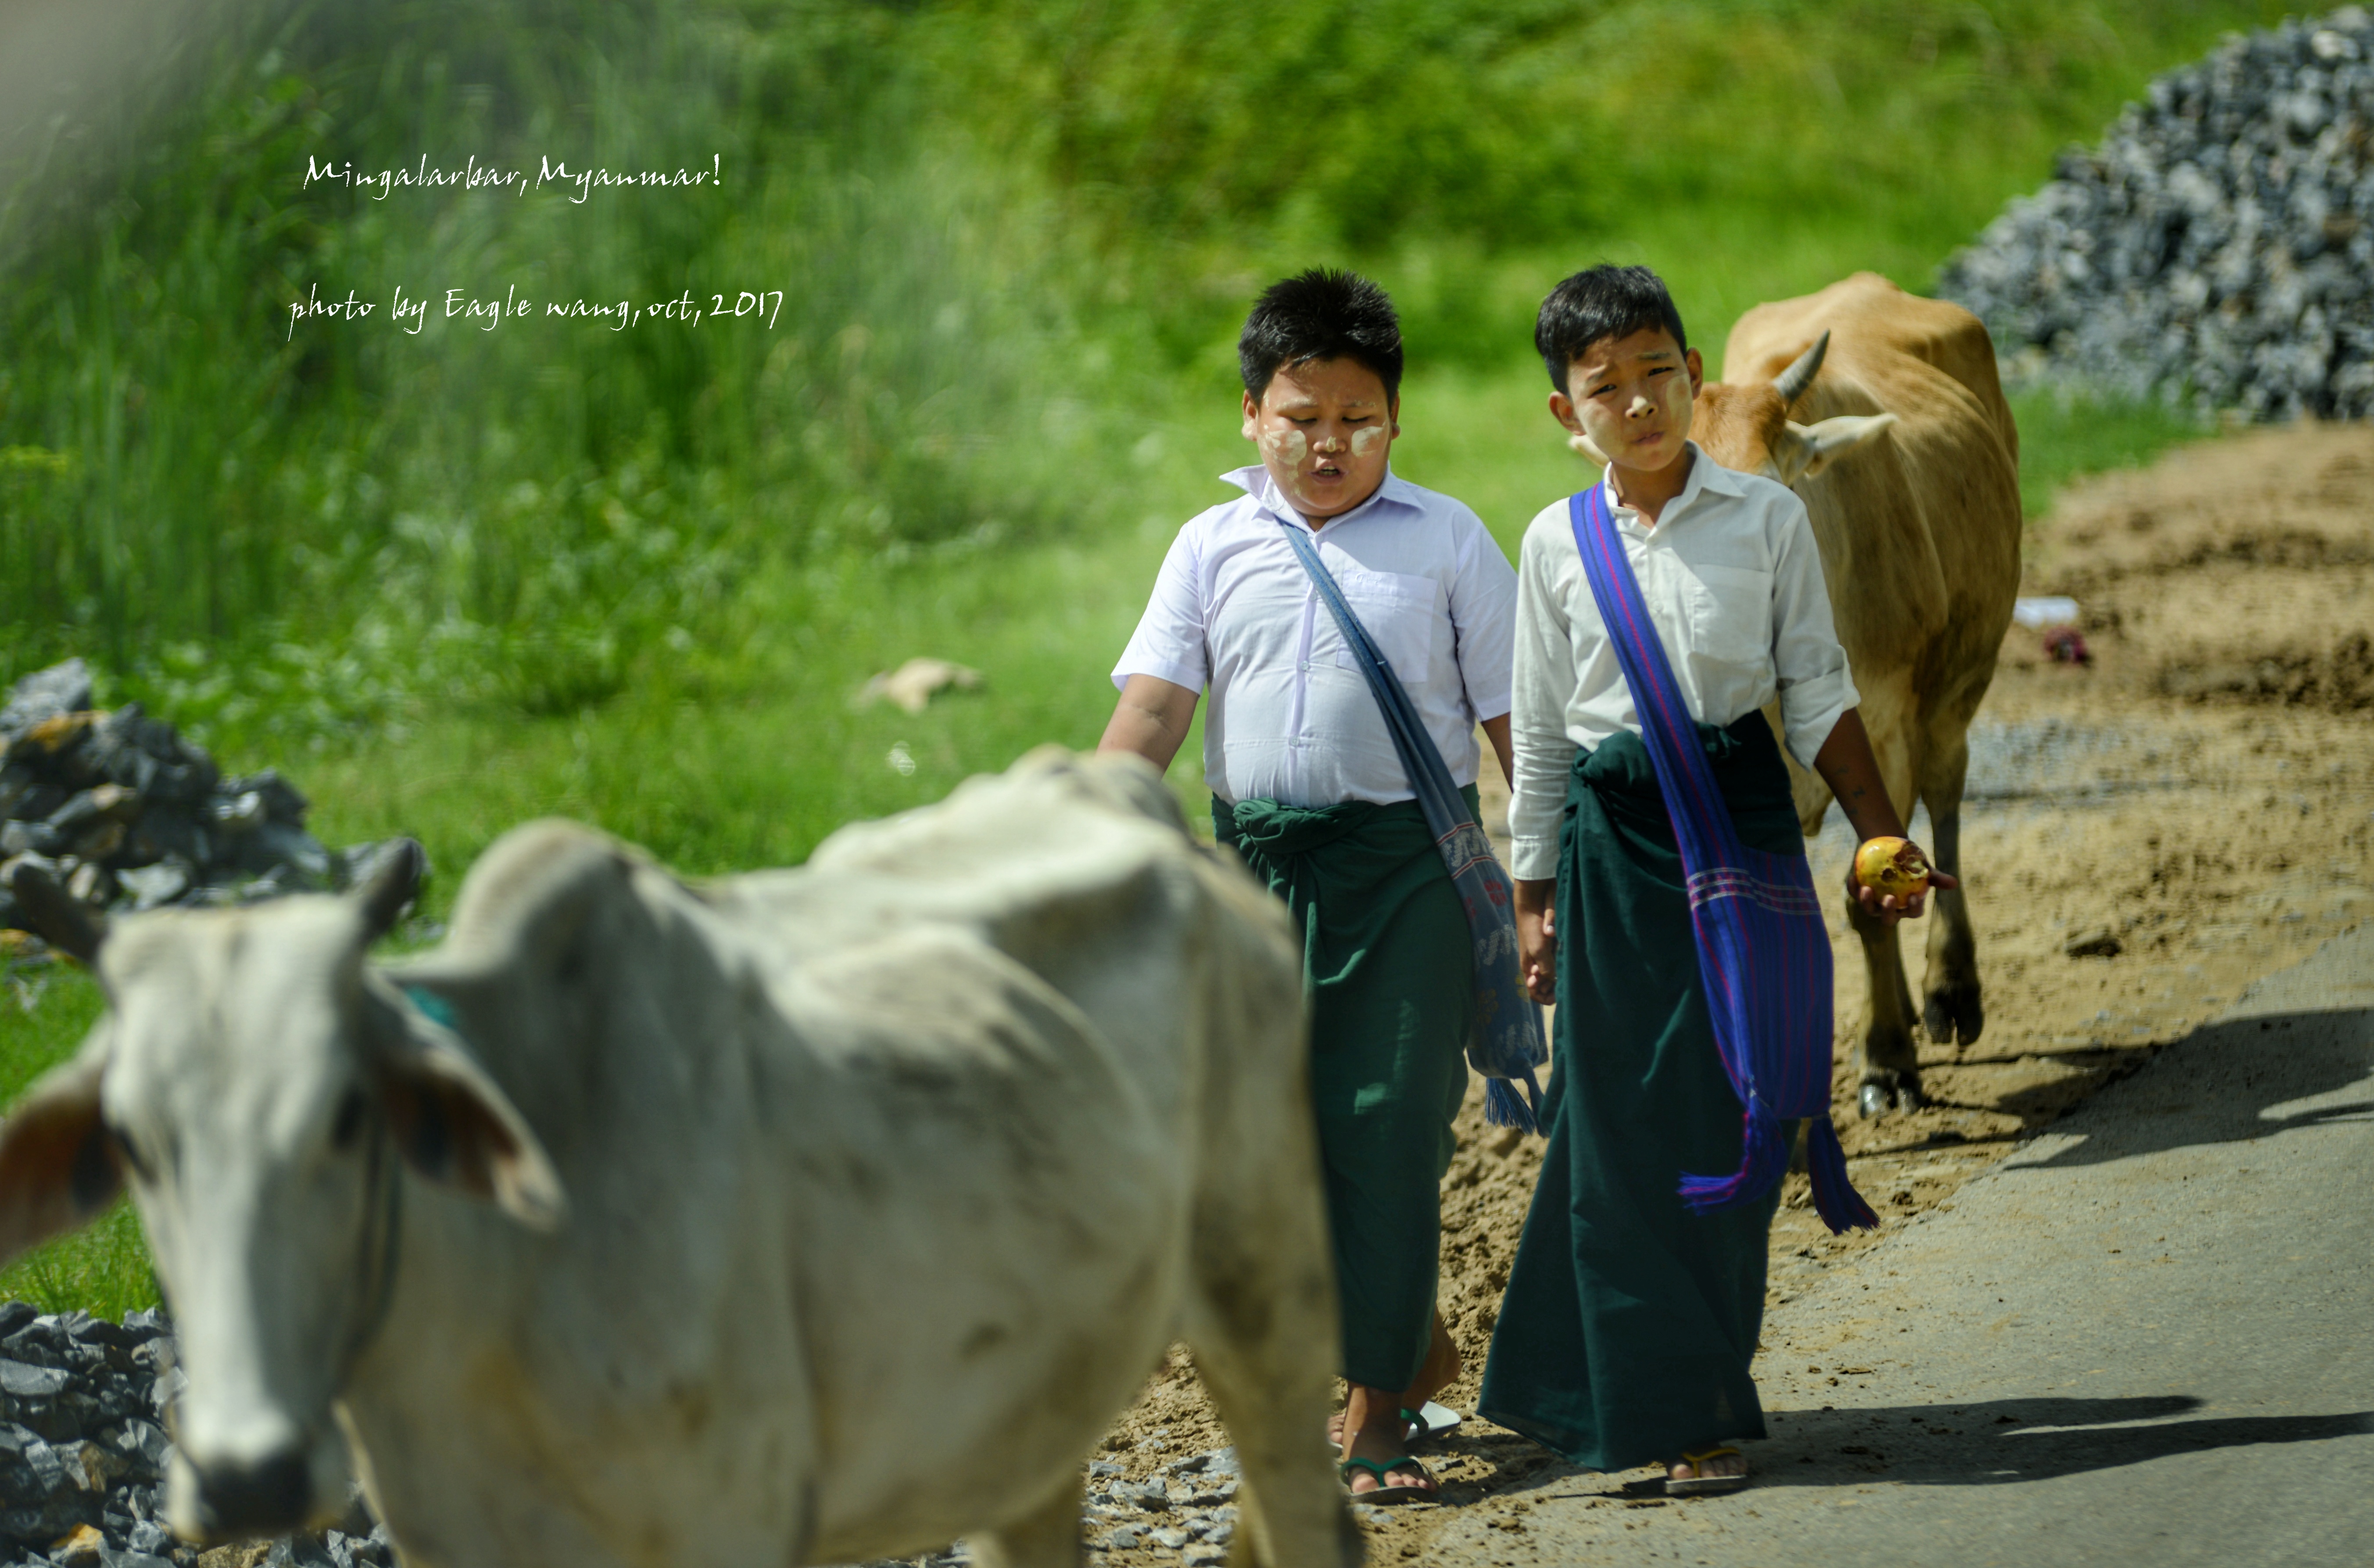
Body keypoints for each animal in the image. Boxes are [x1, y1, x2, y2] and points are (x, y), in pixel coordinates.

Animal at [0, 745, 1358, 1565]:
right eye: (132, 1141)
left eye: (347, 1114)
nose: (248, 1475)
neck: (490, 1302)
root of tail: (1116, 782)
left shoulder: (733, 1519)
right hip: (1031, 1399)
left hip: (1268, 1300)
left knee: (1307, 1512)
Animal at [1690, 275, 2023, 1120]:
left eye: (1769, 497)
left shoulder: (1882, 724)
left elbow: (1862, 898)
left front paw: (1885, 1063)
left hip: (1954, 690)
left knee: (1944, 799)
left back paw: (1947, 993)